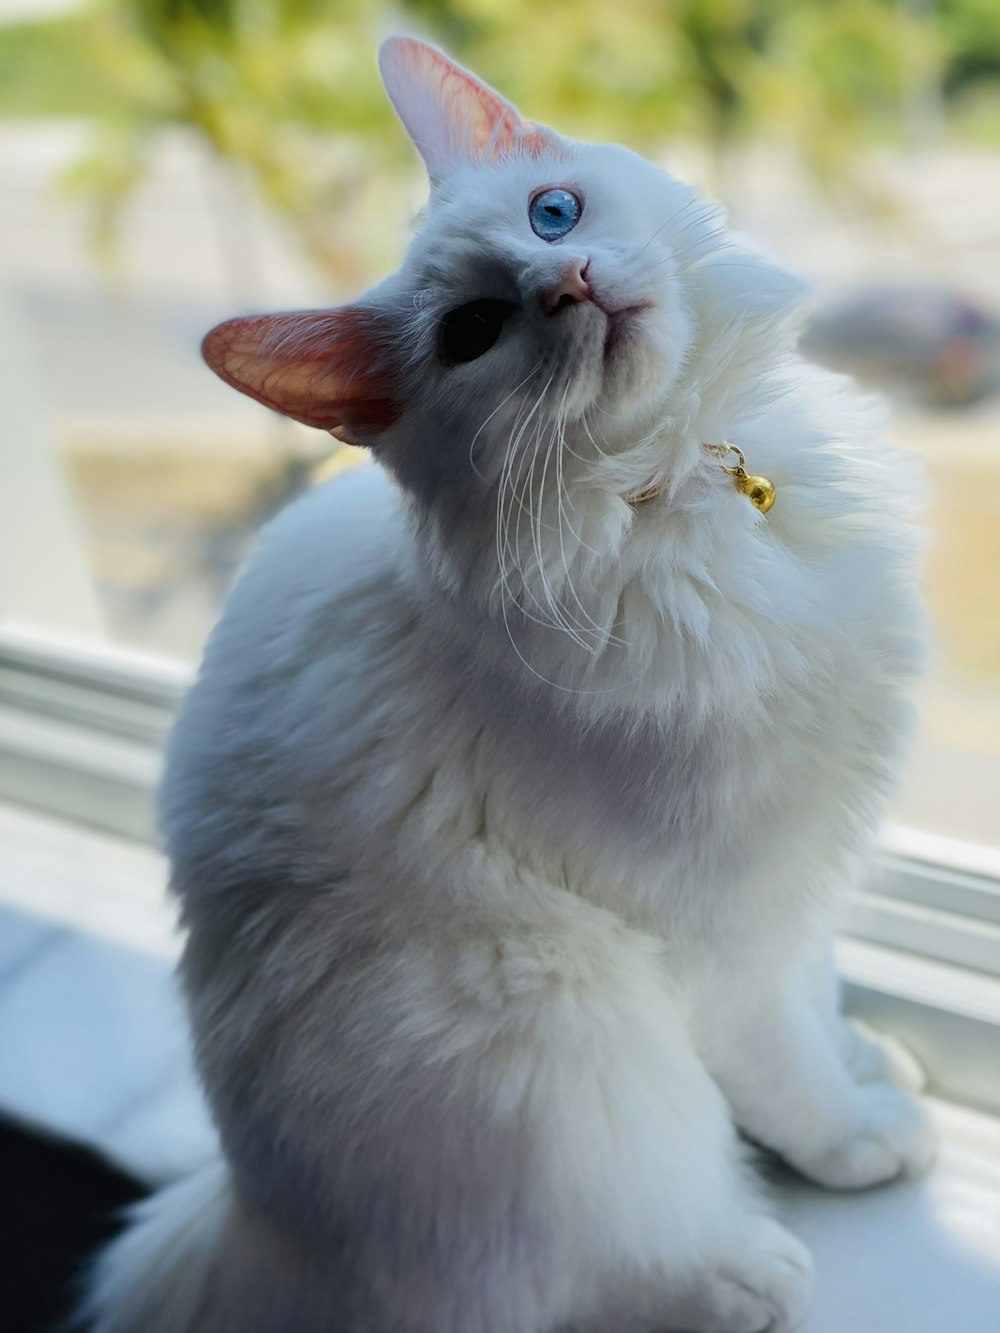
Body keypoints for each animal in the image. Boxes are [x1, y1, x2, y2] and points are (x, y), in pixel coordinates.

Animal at [86, 36, 938, 1327]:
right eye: (475, 332)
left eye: (552, 213)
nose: (569, 282)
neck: (681, 495)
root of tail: (256, 1216)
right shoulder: (720, 923)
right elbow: (786, 1064)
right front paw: (857, 1138)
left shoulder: (797, 866)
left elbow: (819, 986)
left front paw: (863, 1061)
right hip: (554, 1026)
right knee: (572, 1269)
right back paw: (734, 1272)